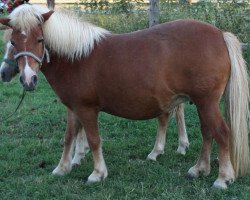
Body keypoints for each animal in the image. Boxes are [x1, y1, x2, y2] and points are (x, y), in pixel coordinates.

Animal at [0, 4, 249, 189]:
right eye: (13, 42)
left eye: (40, 40)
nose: (28, 79)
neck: (77, 57)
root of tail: (220, 34)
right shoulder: (73, 108)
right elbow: (69, 137)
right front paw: (62, 168)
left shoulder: (87, 109)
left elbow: (93, 139)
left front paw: (98, 173)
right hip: (202, 103)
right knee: (208, 132)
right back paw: (199, 169)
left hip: (206, 102)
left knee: (221, 133)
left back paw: (222, 178)